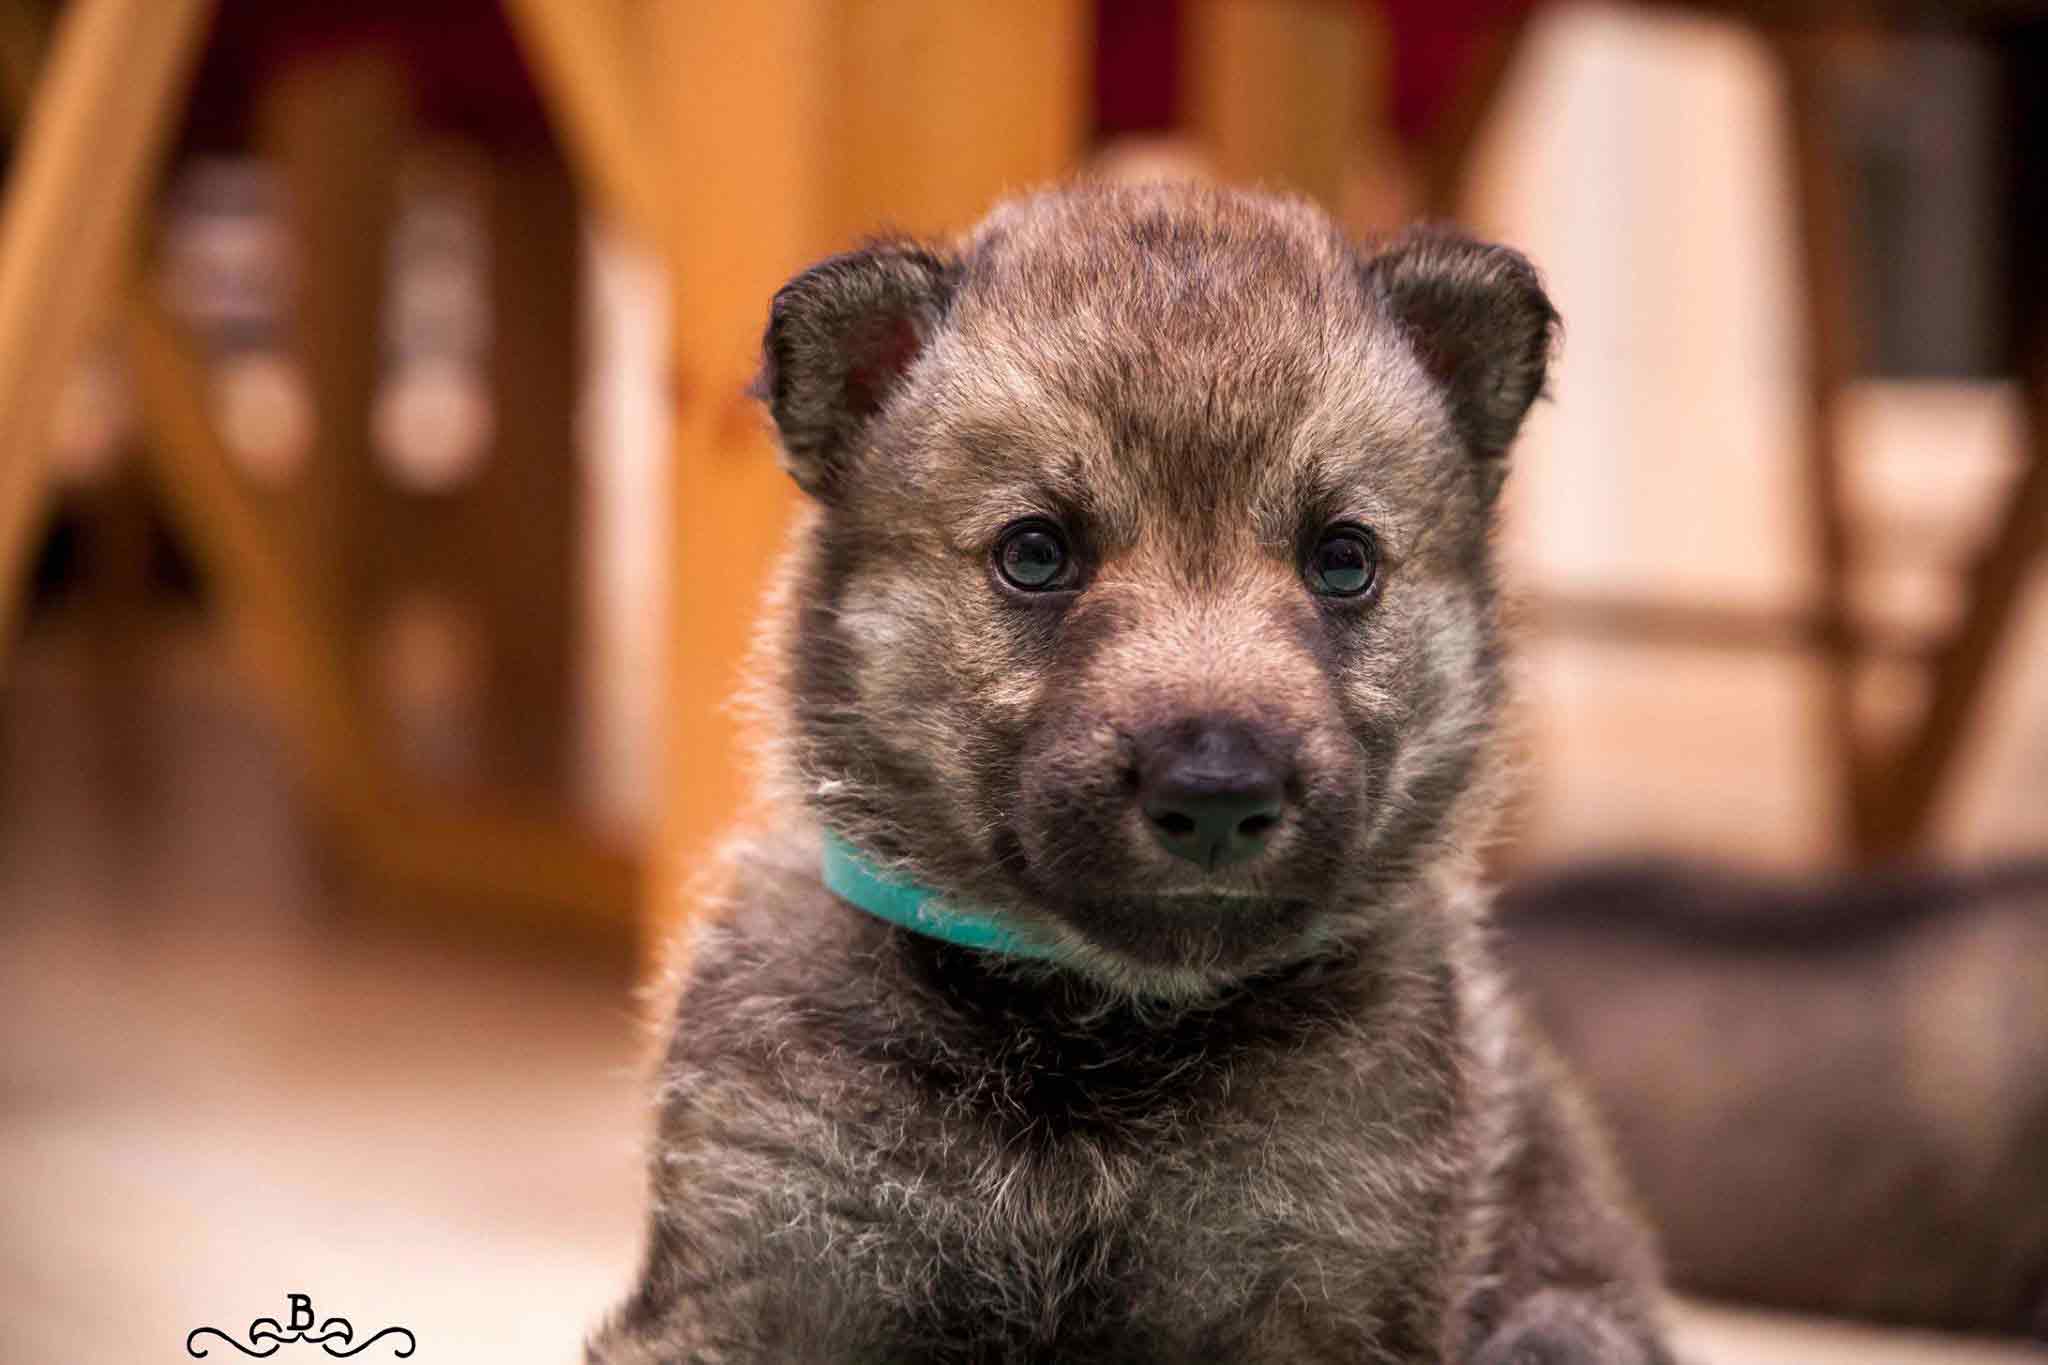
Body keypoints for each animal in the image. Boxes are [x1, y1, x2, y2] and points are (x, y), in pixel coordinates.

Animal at [588, 182, 1672, 1364]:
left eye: (1344, 561)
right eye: (1034, 554)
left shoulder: (1320, 1285)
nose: (1216, 793)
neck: (1098, 1041)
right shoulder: (766, 1275)